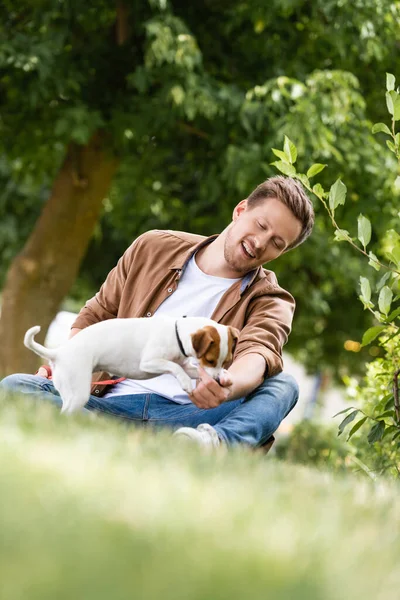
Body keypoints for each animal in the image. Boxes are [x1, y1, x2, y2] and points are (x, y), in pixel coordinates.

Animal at [24, 316, 238, 414]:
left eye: (226, 361)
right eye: (210, 360)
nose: (217, 381)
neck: (176, 333)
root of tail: (59, 353)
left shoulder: (185, 365)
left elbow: (187, 369)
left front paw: (224, 375)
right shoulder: (149, 362)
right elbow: (175, 368)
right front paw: (185, 383)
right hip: (78, 393)